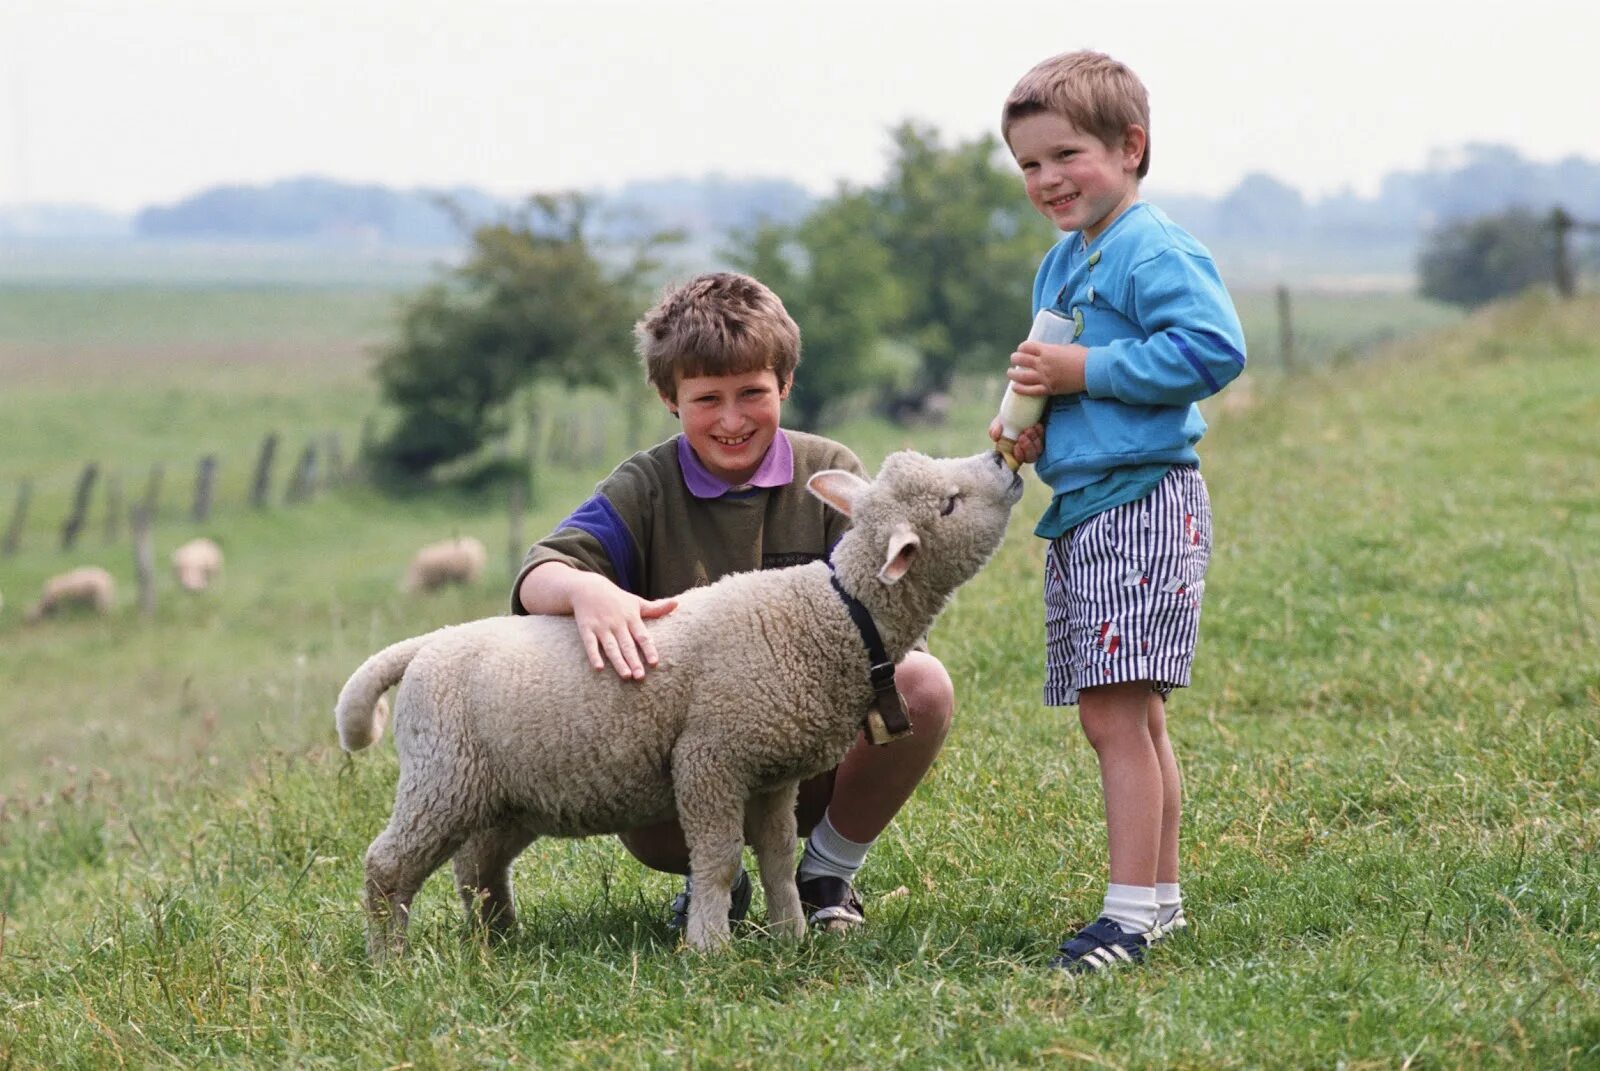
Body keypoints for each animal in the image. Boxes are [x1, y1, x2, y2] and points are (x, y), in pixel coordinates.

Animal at [334, 448, 1024, 954]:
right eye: (950, 504)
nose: (1003, 461)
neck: (831, 615)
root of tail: (426, 645)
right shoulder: (710, 758)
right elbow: (717, 861)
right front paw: (711, 949)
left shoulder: (772, 774)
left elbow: (777, 858)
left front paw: (791, 937)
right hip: (441, 777)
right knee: (388, 866)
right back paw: (390, 959)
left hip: (507, 794)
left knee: (477, 867)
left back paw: (498, 941)